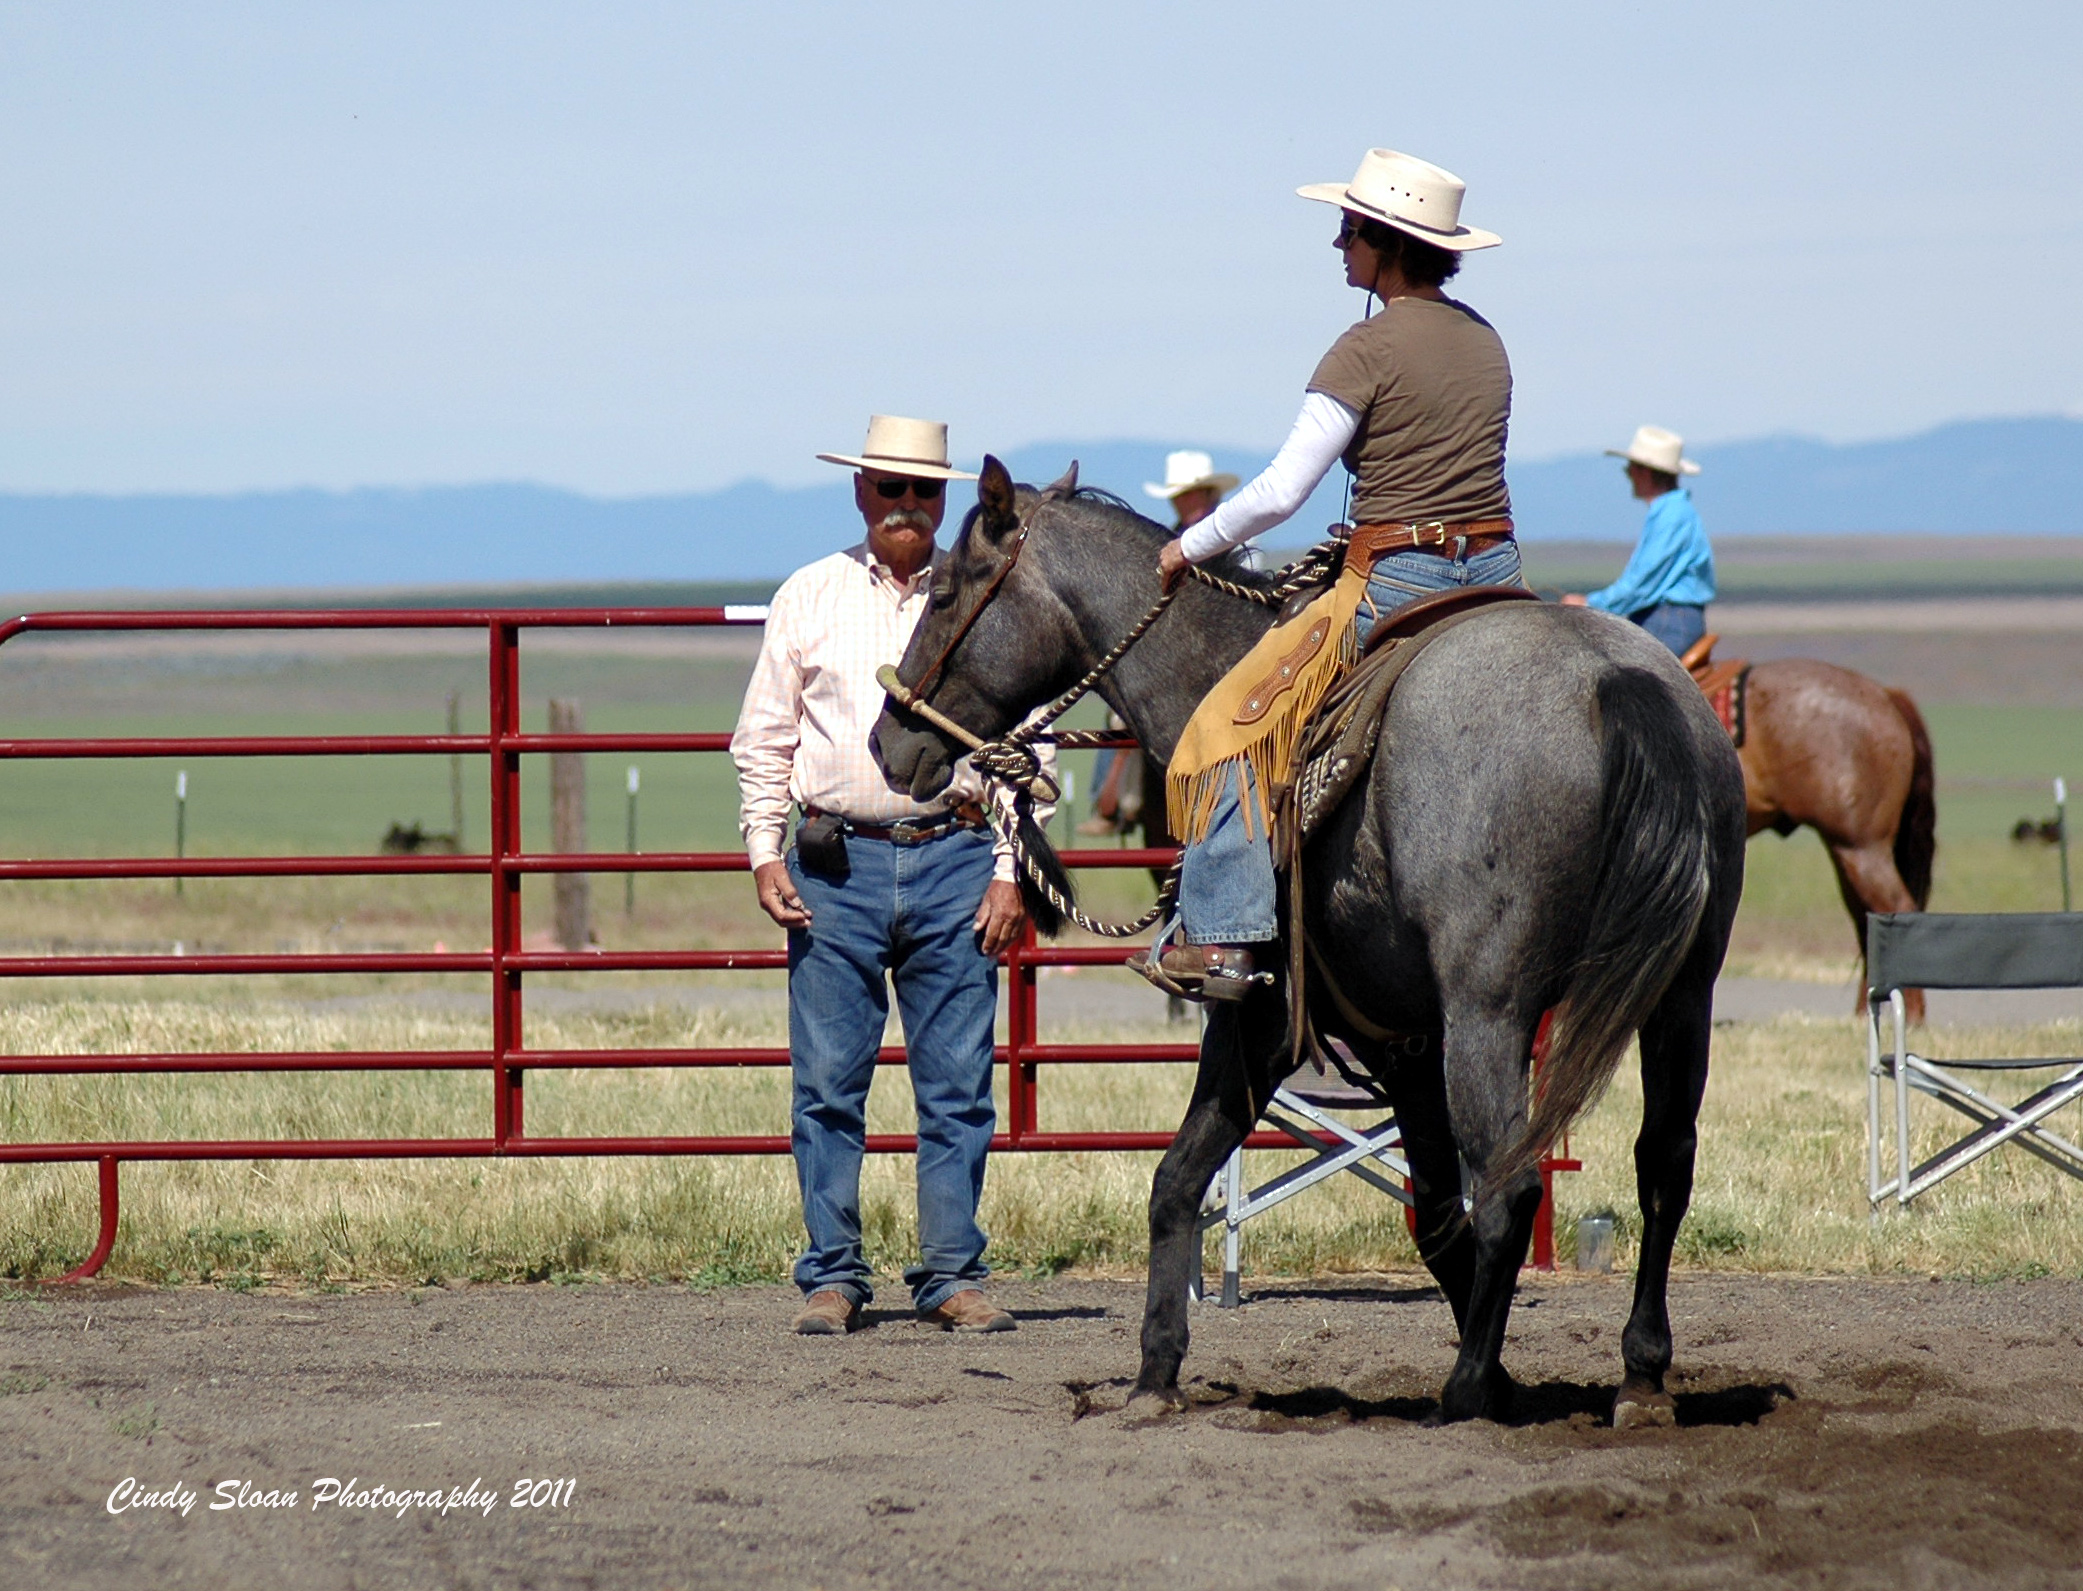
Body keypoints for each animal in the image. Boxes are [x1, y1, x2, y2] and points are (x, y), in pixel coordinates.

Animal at [870, 460, 1749, 1432]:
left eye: (943, 591)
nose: (886, 739)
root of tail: (1616, 682)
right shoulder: (1405, 1044)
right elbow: (1423, 1212)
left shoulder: (1256, 1020)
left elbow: (1180, 1174)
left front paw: (1154, 1372)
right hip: (1681, 995)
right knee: (1662, 1162)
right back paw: (1639, 1375)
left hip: (1491, 1010)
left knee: (1511, 1186)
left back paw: (1463, 1392)